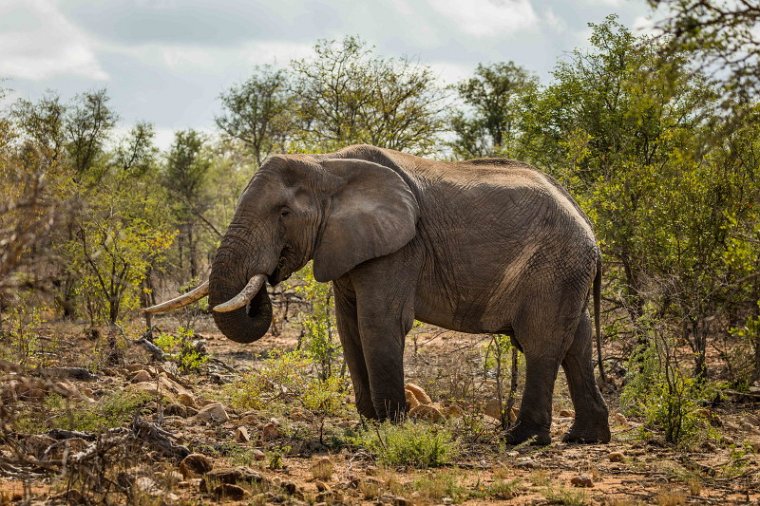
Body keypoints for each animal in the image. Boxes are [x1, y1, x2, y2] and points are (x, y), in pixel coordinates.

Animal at [147, 144, 612, 444]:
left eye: (283, 213)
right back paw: (583, 438)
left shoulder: (400, 247)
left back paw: (521, 438)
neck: (326, 164)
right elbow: (348, 327)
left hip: (554, 267)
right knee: (576, 343)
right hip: (567, 272)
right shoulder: (346, 245)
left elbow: (378, 323)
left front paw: (392, 424)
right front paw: (370, 422)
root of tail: (586, 220)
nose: (267, 278)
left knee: (541, 343)